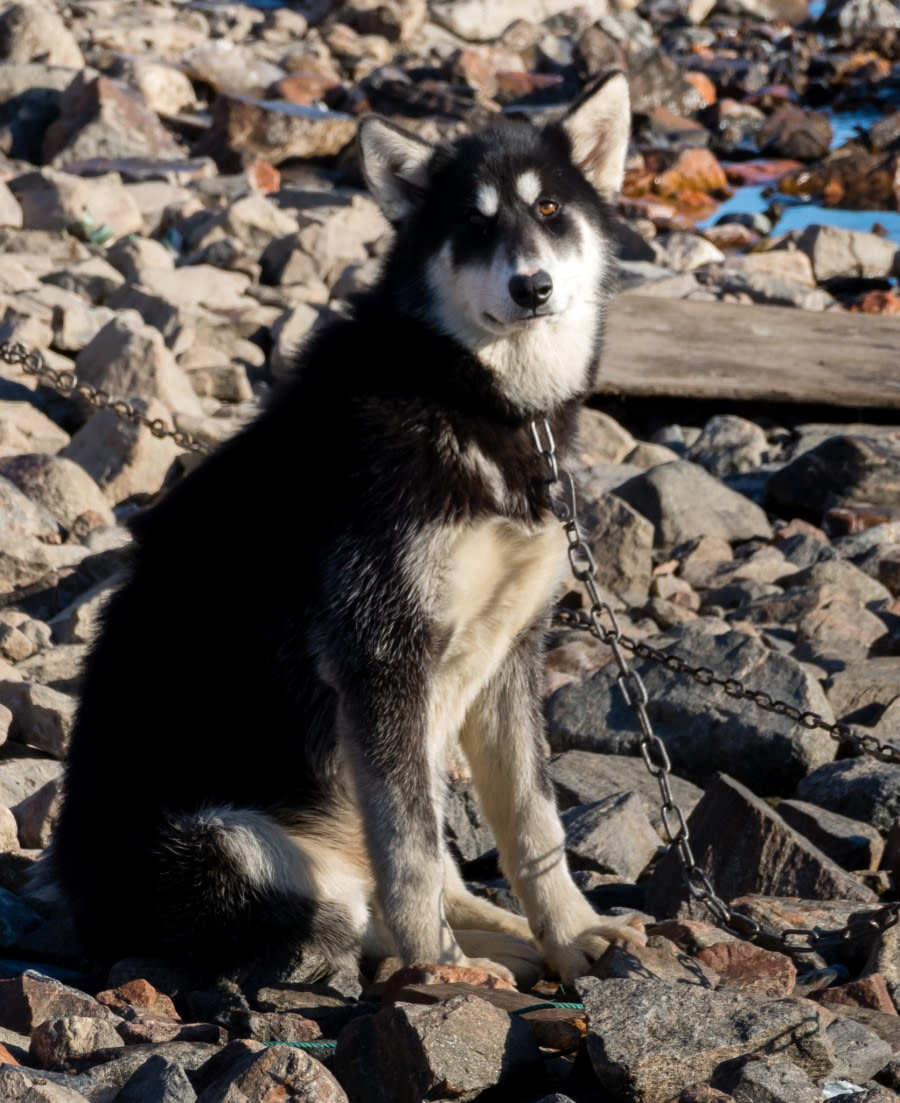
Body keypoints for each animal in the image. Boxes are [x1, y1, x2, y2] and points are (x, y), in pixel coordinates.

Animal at [49, 73, 644, 988]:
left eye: (549, 208)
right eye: (472, 225)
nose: (532, 287)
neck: (467, 395)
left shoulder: (509, 655)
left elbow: (532, 824)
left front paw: (572, 932)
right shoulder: (379, 653)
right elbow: (409, 857)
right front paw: (435, 970)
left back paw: (496, 930)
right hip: (230, 846)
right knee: (350, 911)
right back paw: (441, 956)